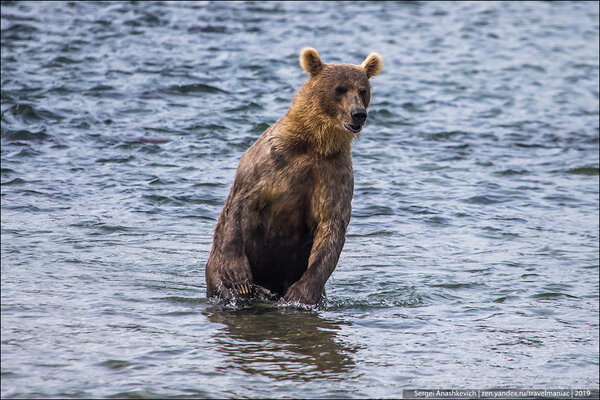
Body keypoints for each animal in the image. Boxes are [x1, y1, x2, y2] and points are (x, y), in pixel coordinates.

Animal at [204, 47, 382, 304]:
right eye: (339, 89)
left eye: (362, 90)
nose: (358, 114)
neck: (315, 143)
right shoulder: (271, 163)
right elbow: (241, 205)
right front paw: (239, 277)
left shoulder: (333, 174)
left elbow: (331, 228)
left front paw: (301, 292)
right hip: (215, 271)